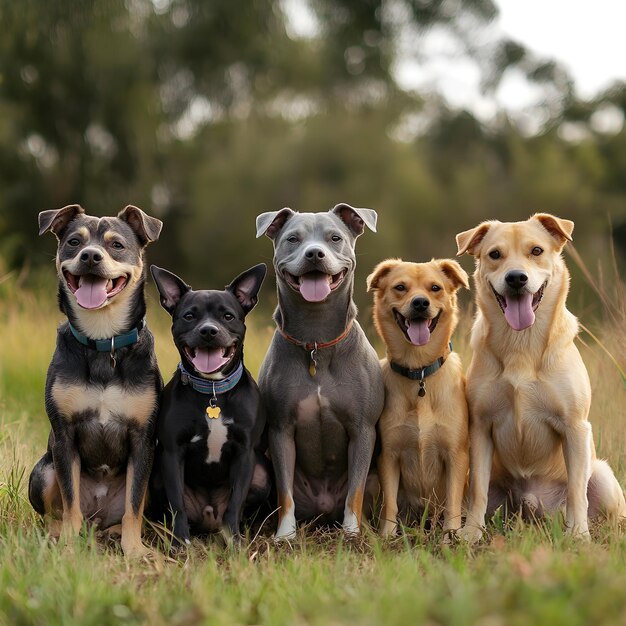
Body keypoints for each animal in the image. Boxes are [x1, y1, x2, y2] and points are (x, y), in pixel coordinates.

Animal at [28, 204, 162, 556]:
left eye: (116, 245)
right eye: (74, 241)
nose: (90, 256)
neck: (103, 339)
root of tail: (97, 522)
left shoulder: (142, 440)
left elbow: (133, 505)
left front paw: (134, 549)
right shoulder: (64, 436)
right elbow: (70, 499)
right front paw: (68, 546)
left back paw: (114, 534)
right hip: (44, 471)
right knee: (55, 512)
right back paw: (58, 535)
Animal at [150, 260, 272, 544]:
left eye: (227, 316)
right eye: (189, 316)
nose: (208, 330)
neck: (213, 391)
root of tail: (209, 515)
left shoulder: (245, 453)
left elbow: (236, 502)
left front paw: (234, 541)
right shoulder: (171, 453)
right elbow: (177, 503)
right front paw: (180, 543)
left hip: (261, 474)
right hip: (156, 473)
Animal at [255, 202, 382, 540]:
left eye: (335, 238)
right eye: (293, 239)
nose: (314, 254)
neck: (316, 341)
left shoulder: (362, 430)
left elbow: (355, 492)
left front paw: (352, 534)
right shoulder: (281, 430)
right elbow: (285, 494)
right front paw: (285, 536)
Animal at [366, 258, 468, 536]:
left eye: (435, 288)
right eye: (400, 287)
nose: (420, 303)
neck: (419, 371)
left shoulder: (456, 455)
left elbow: (452, 504)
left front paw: (451, 536)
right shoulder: (388, 456)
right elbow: (390, 504)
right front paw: (387, 536)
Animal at [454, 211, 624, 540]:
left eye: (536, 251)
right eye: (495, 255)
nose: (516, 278)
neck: (522, 342)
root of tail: (534, 508)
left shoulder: (574, 427)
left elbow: (576, 491)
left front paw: (578, 535)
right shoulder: (480, 427)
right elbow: (479, 489)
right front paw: (471, 533)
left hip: (603, 476)